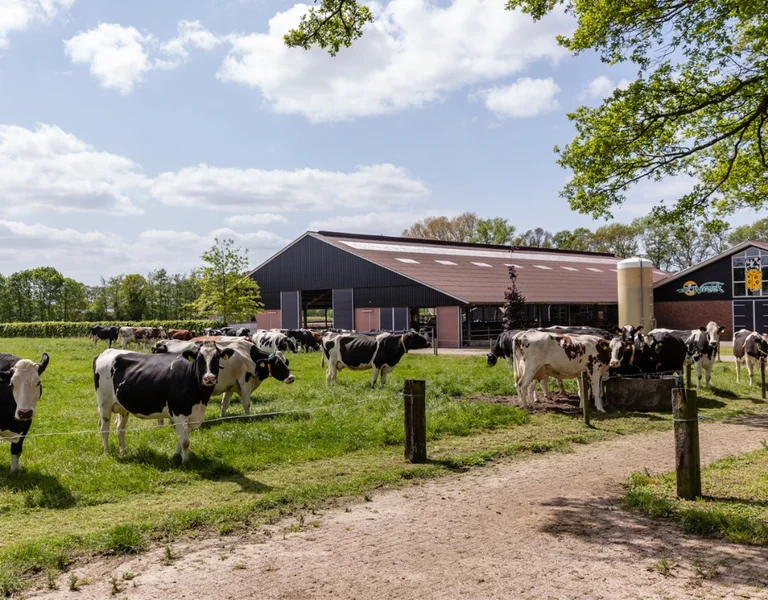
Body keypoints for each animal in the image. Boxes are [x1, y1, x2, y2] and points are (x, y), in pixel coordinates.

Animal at [93, 342, 233, 462]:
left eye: (217, 358)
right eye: (199, 359)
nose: (209, 378)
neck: (200, 398)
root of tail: (106, 352)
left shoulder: (194, 415)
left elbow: (183, 437)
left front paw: (176, 455)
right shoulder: (178, 412)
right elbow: (185, 441)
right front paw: (185, 461)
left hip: (123, 407)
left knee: (120, 428)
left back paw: (123, 451)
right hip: (104, 403)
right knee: (104, 428)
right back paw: (107, 452)